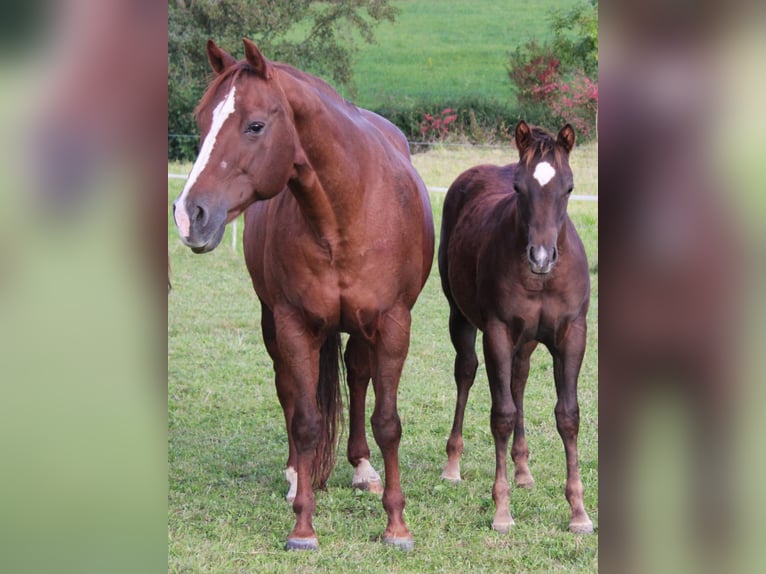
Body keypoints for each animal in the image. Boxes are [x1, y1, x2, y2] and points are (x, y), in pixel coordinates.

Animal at [172, 39, 434, 550]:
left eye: (255, 125)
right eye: (201, 121)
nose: (190, 214)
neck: (346, 212)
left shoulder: (393, 323)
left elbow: (388, 421)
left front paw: (396, 524)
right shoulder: (295, 323)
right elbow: (307, 419)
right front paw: (303, 525)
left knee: (357, 377)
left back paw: (362, 468)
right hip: (274, 324)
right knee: (290, 392)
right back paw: (298, 475)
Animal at [438, 121, 594, 534]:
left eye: (569, 187)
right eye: (518, 188)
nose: (540, 257)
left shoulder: (573, 334)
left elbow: (568, 415)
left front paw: (579, 512)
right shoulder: (498, 332)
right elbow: (502, 414)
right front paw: (502, 510)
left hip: (526, 342)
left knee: (519, 380)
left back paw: (523, 470)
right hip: (461, 317)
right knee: (466, 372)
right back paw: (453, 464)